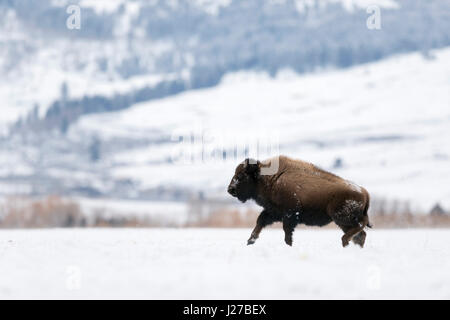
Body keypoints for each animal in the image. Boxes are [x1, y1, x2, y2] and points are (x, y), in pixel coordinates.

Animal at [227, 156, 370, 249]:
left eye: (241, 176)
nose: (230, 189)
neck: (269, 179)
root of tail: (364, 192)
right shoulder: (272, 212)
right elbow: (260, 222)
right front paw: (250, 241)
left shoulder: (289, 215)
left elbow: (287, 232)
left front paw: (289, 245)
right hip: (342, 222)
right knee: (361, 234)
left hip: (341, 218)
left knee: (361, 226)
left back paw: (344, 241)